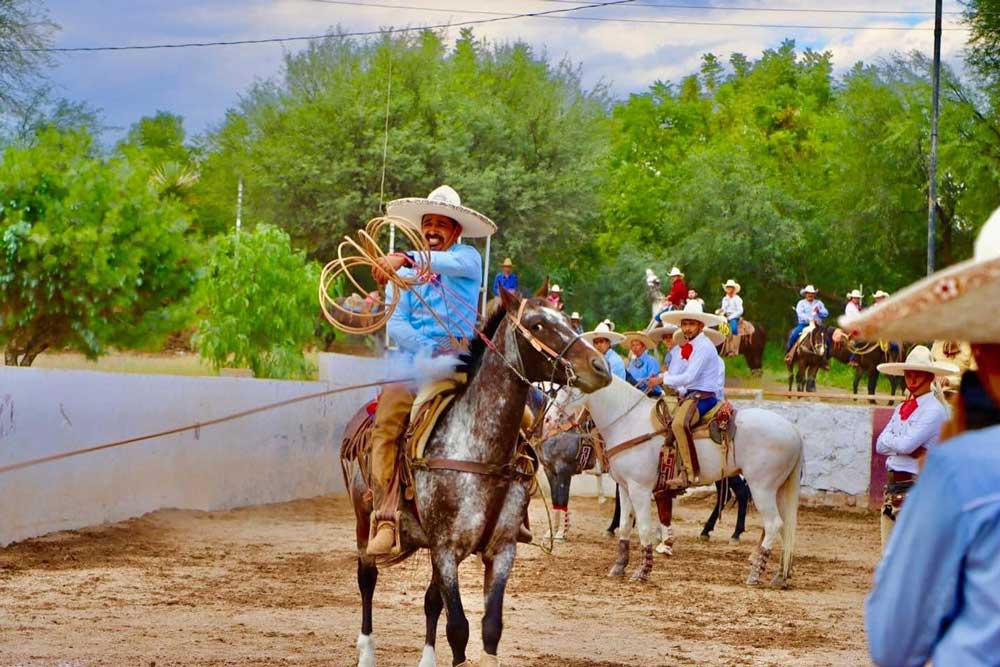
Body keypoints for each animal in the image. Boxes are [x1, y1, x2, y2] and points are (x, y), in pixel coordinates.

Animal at [344, 288, 608, 667]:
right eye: (537, 324)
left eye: (569, 322)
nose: (600, 367)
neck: (478, 450)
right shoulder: (446, 549)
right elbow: (458, 628)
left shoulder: (500, 550)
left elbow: (489, 626)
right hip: (365, 520)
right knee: (367, 578)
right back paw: (366, 652)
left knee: (430, 601)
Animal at [556, 378, 804, 588]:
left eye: (568, 391)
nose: (551, 419)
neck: (628, 422)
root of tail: (793, 431)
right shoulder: (626, 488)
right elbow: (625, 526)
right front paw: (618, 567)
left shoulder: (640, 489)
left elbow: (644, 528)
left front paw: (643, 572)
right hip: (779, 489)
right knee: (785, 527)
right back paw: (780, 575)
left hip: (762, 487)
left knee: (773, 524)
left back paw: (754, 574)